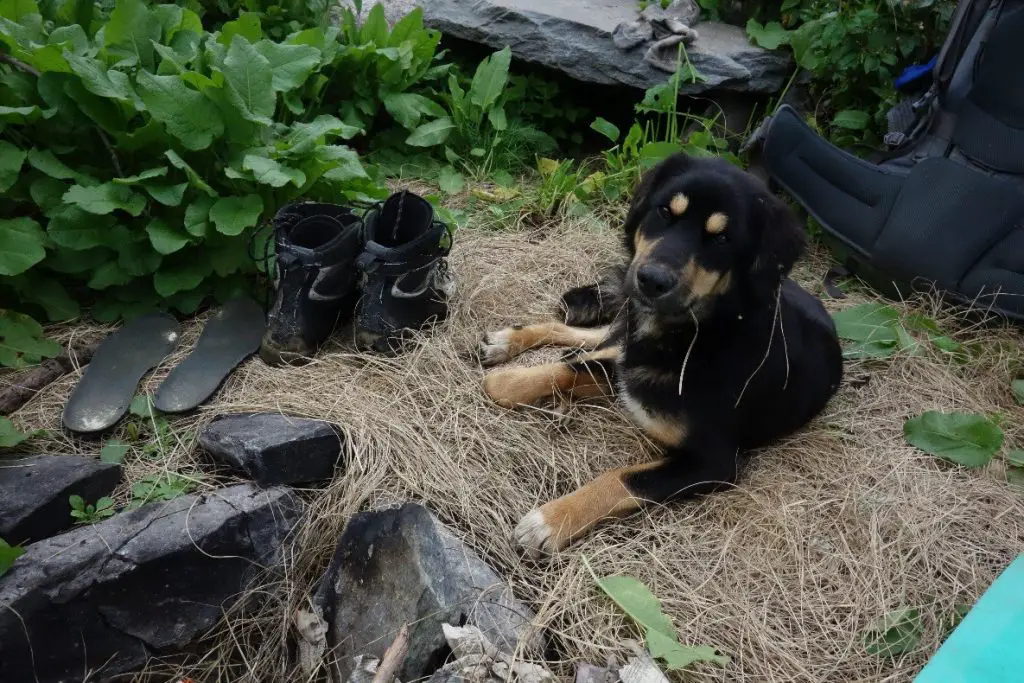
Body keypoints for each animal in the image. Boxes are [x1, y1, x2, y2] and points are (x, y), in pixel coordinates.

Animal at [477, 152, 839, 557]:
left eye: (722, 238)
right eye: (665, 212)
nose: (651, 281)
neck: (700, 335)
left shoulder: (712, 462)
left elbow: (624, 477)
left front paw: (551, 520)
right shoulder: (625, 367)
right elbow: (571, 367)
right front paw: (509, 382)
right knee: (585, 336)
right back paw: (507, 341)